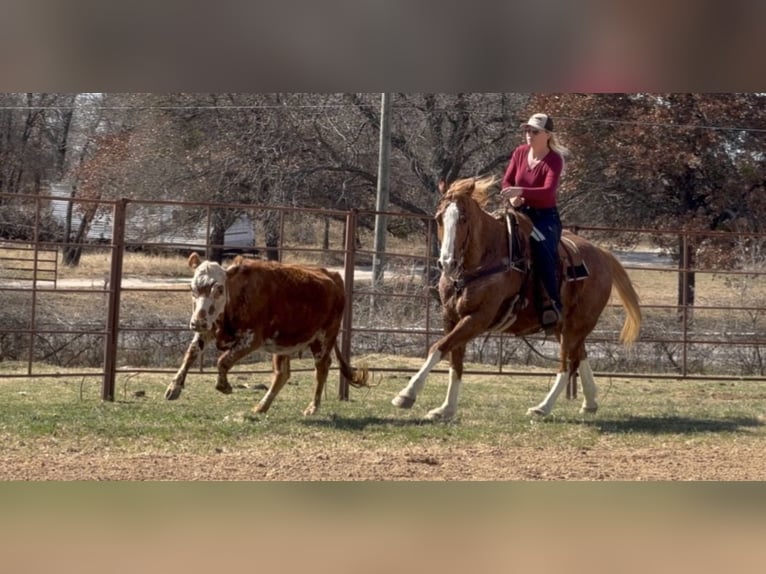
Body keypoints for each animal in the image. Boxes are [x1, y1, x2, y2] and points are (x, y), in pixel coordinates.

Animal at [391, 176, 641, 420]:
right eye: (439, 218)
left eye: (463, 218)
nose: (447, 263)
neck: (487, 258)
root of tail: (602, 255)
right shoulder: (451, 317)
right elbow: (455, 360)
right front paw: (446, 409)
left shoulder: (478, 318)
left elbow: (439, 347)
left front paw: (406, 395)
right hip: (565, 326)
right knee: (580, 355)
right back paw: (589, 403)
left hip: (577, 325)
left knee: (568, 364)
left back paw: (542, 408)